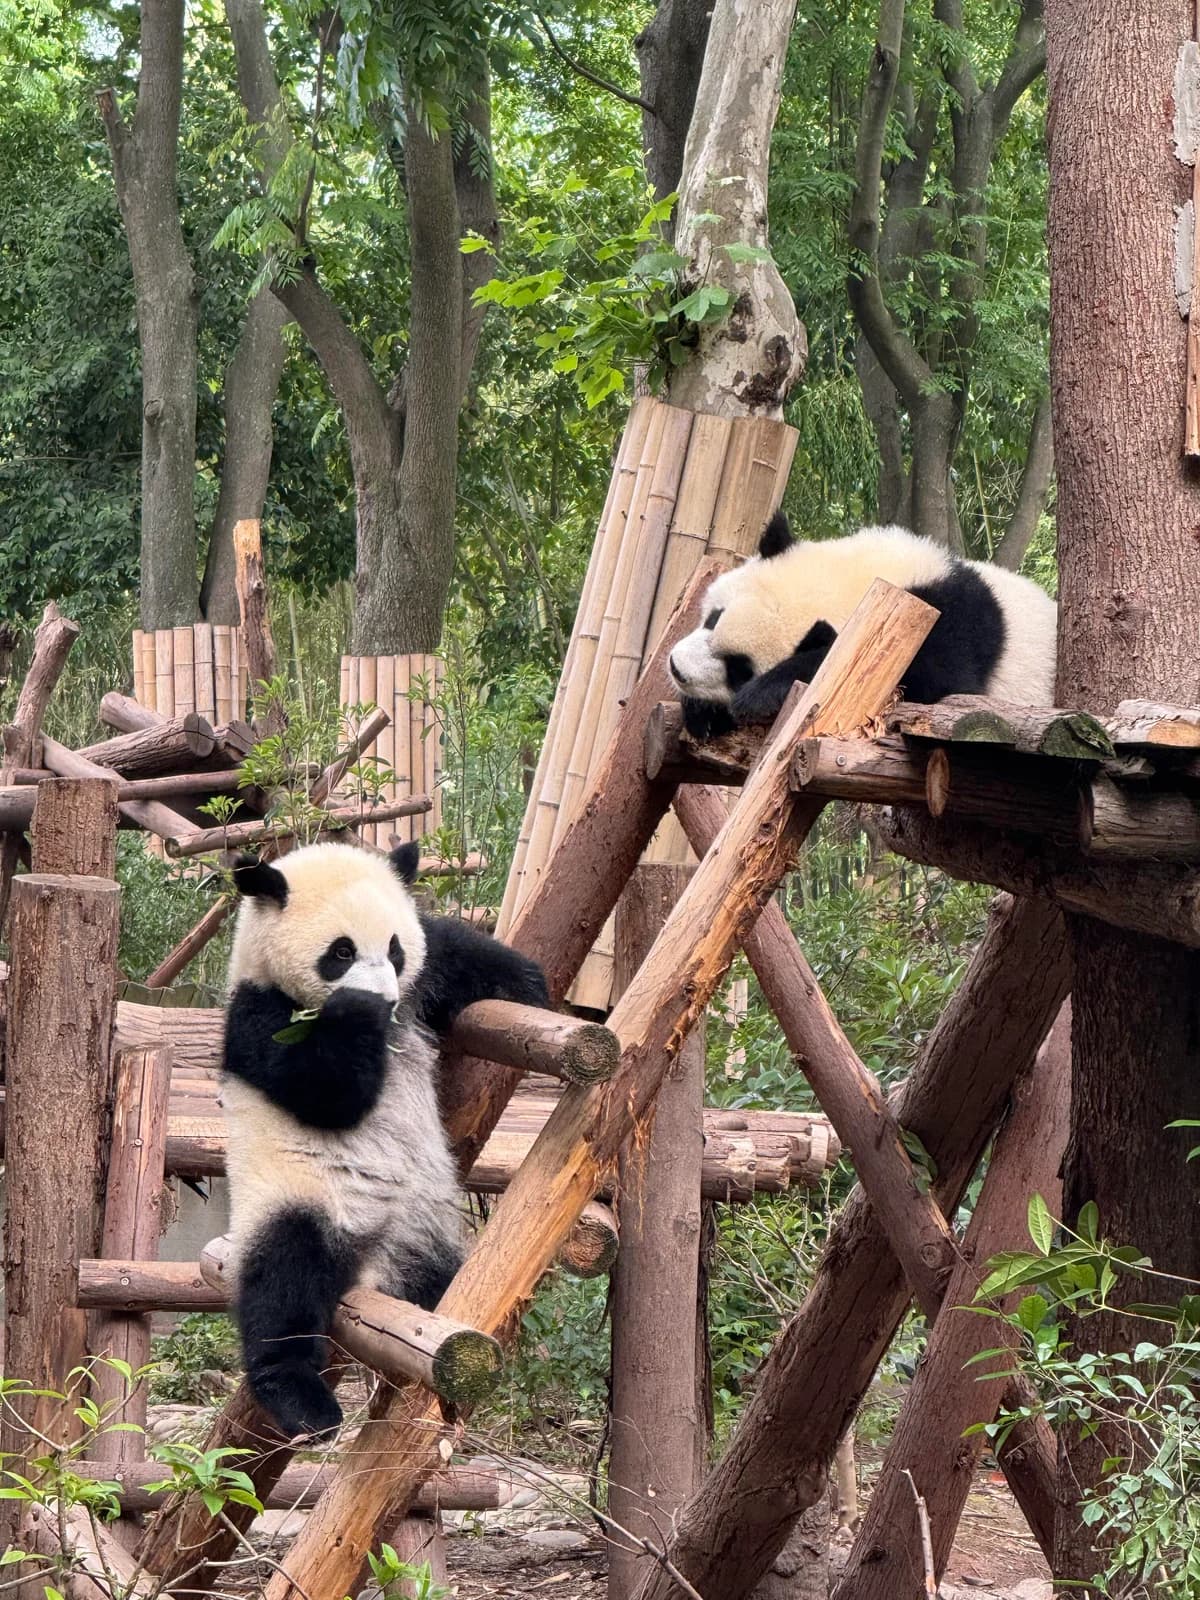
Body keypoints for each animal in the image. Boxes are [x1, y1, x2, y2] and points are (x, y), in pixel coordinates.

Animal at [219, 839, 548, 1440]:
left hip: (430, 1235)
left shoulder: (423, 980)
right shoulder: (258, 1015)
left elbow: (460, 953)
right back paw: (302, 1399)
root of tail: (375, 1260)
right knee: (283, 1281)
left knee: (440, 1285)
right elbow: (326, 1093)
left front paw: (534, 989)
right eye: (341, 952)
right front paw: (358, 1013)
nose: (386, 1000)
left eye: (394, 950)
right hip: (297, 1195)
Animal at [669, 512, 1058, 739]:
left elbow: (932, 681)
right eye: (714, 617)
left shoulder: (943, 626)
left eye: (739, 669)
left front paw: (762, 693)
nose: (676, 668)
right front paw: (704, 713)